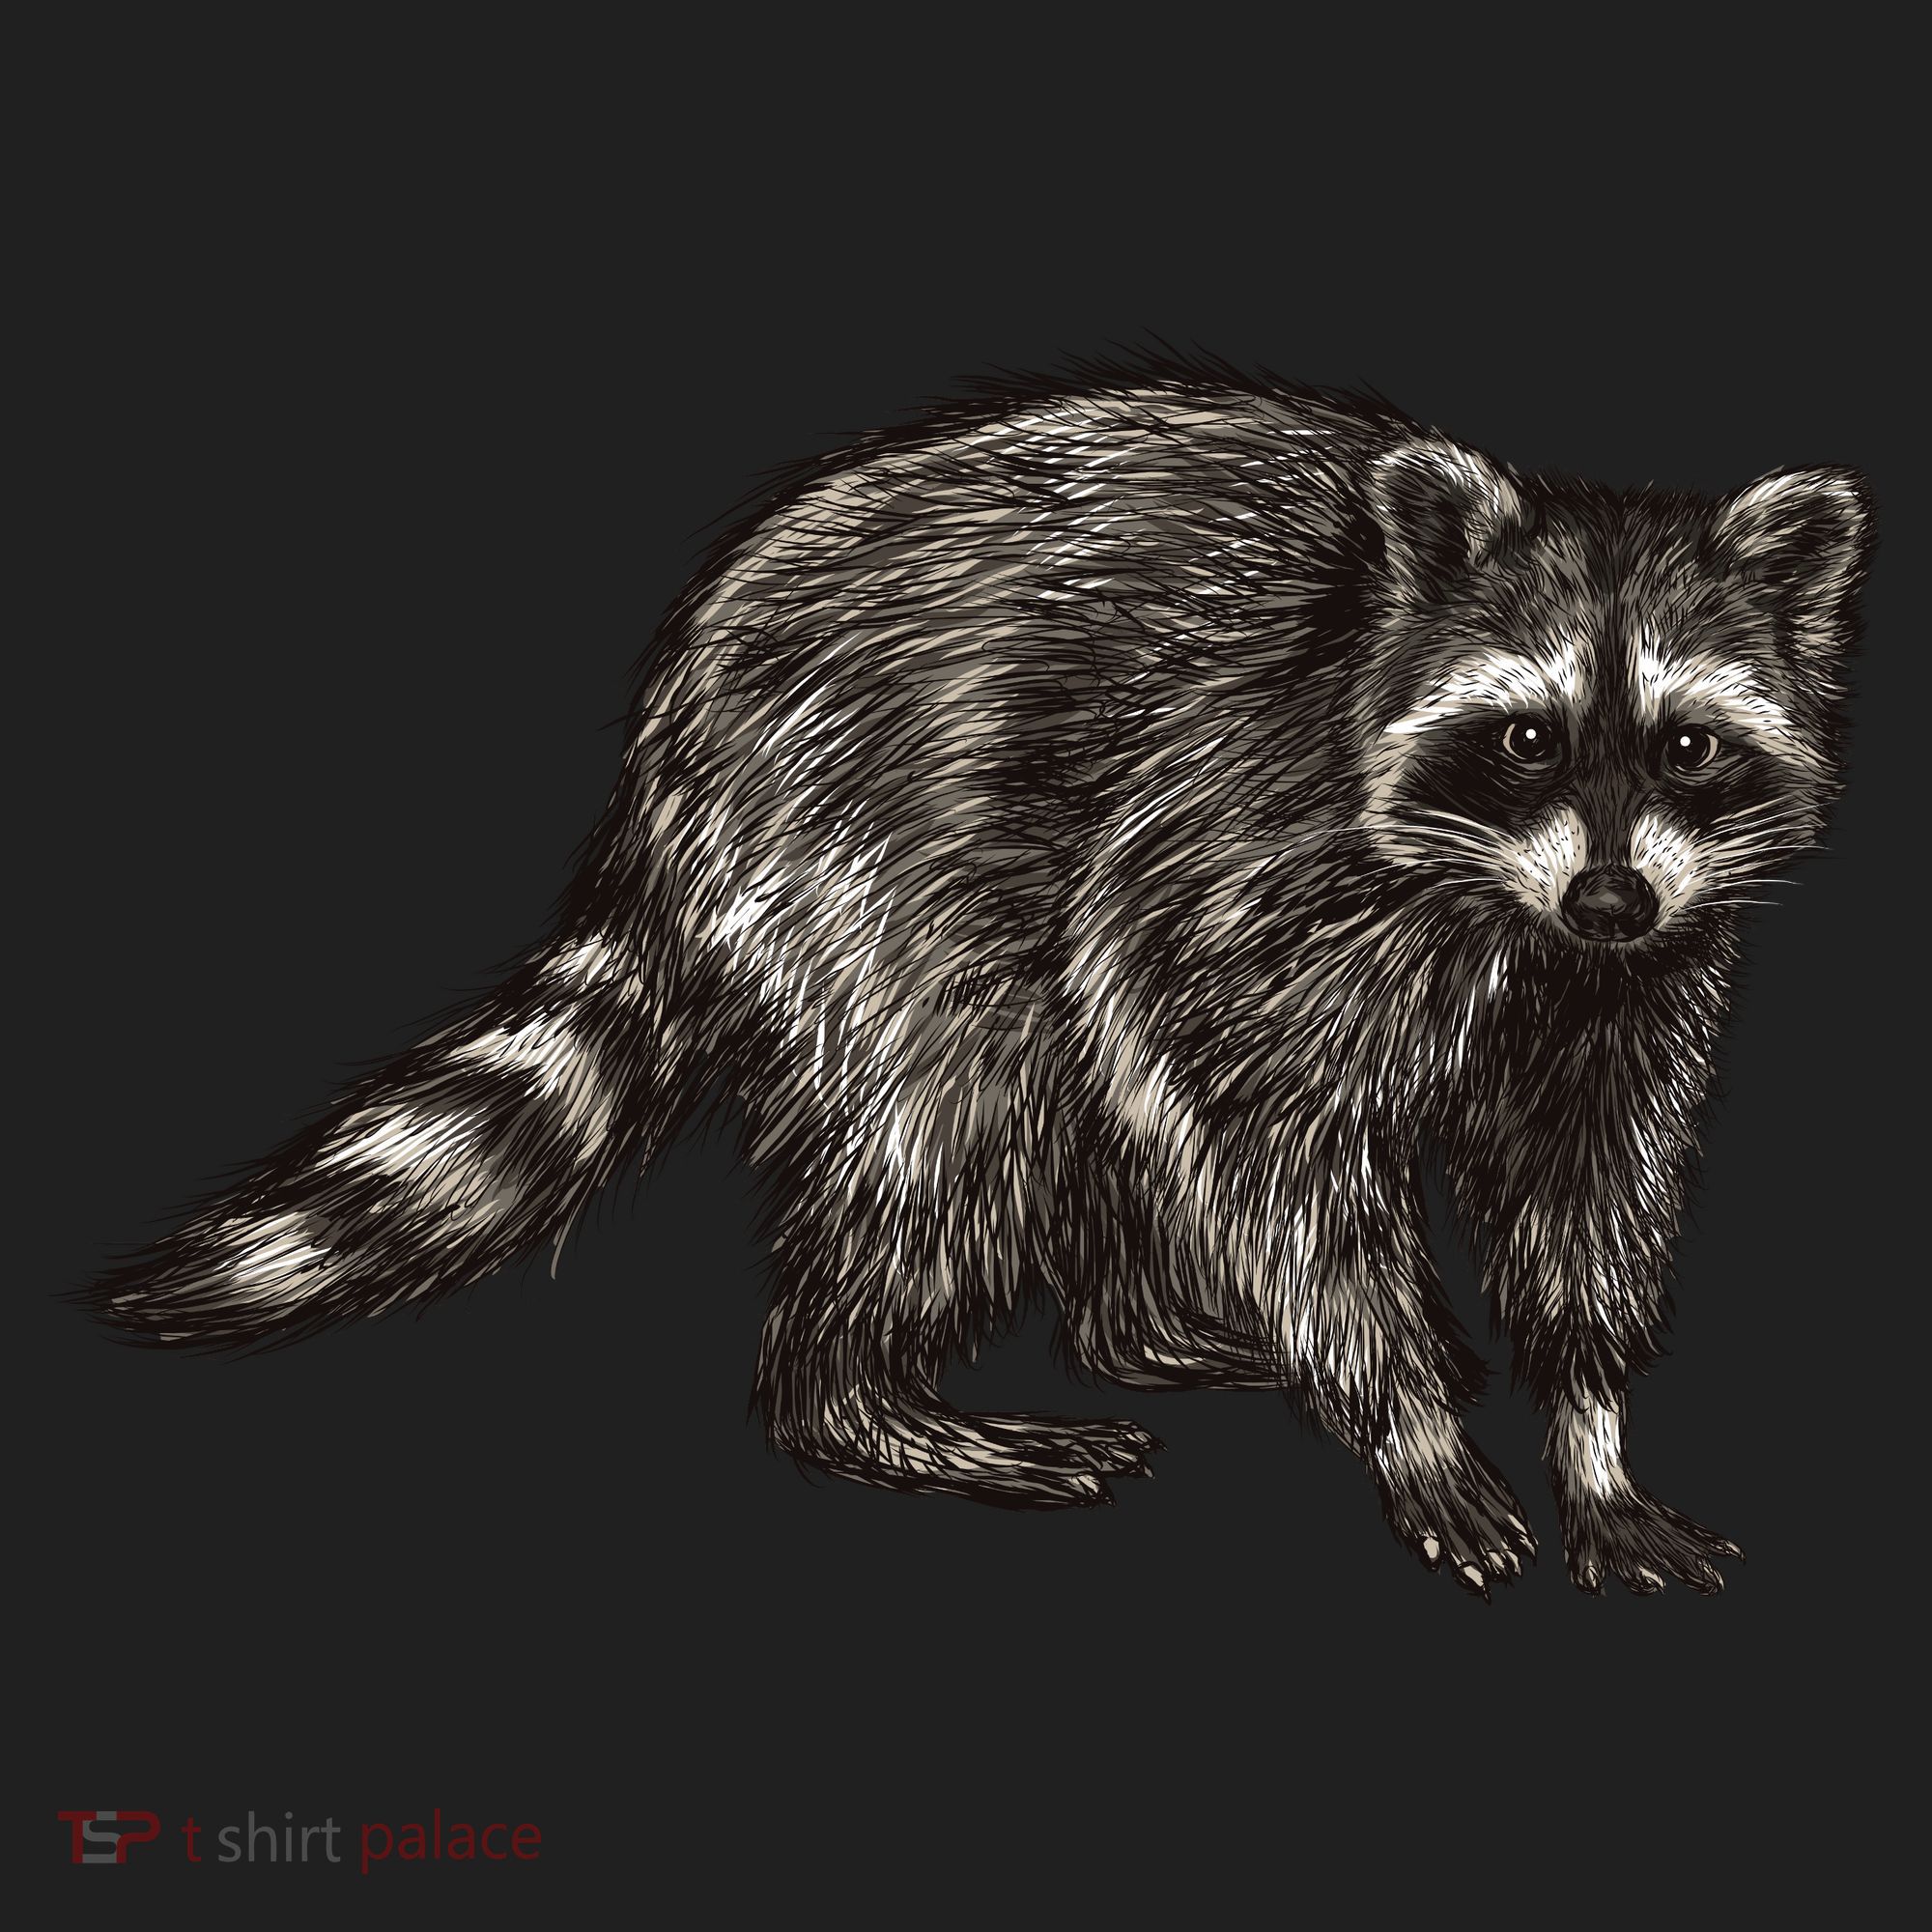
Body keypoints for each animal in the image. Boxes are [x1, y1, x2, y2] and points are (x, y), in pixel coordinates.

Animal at [84, 355, 1872, 1597]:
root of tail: (667, 740)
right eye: (1523, 737)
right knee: (964, 1119)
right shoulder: (1247, 841)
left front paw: (1591, 1427)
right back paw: (859, 1392)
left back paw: (1138, 1321)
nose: (1612, 892)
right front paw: (1412, 1404)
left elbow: (1588, 1184)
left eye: (1690, 745)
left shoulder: (1641, 981)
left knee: (1079, 1093)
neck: (1514, 910)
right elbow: (1251, 1118)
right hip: (860, 839)